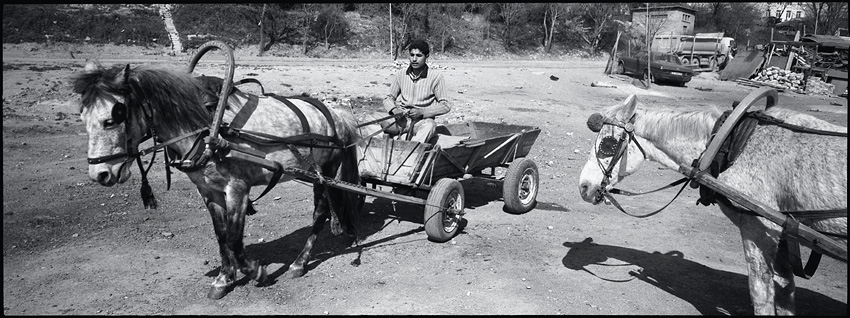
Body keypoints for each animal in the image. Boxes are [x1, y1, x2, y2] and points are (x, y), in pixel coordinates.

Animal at [572, 93, 844, 314]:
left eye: (608, 145)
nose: (584, 187)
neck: (726, 145)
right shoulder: (786, 232)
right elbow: (786, 290)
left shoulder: (760, 226)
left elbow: (761, 292)